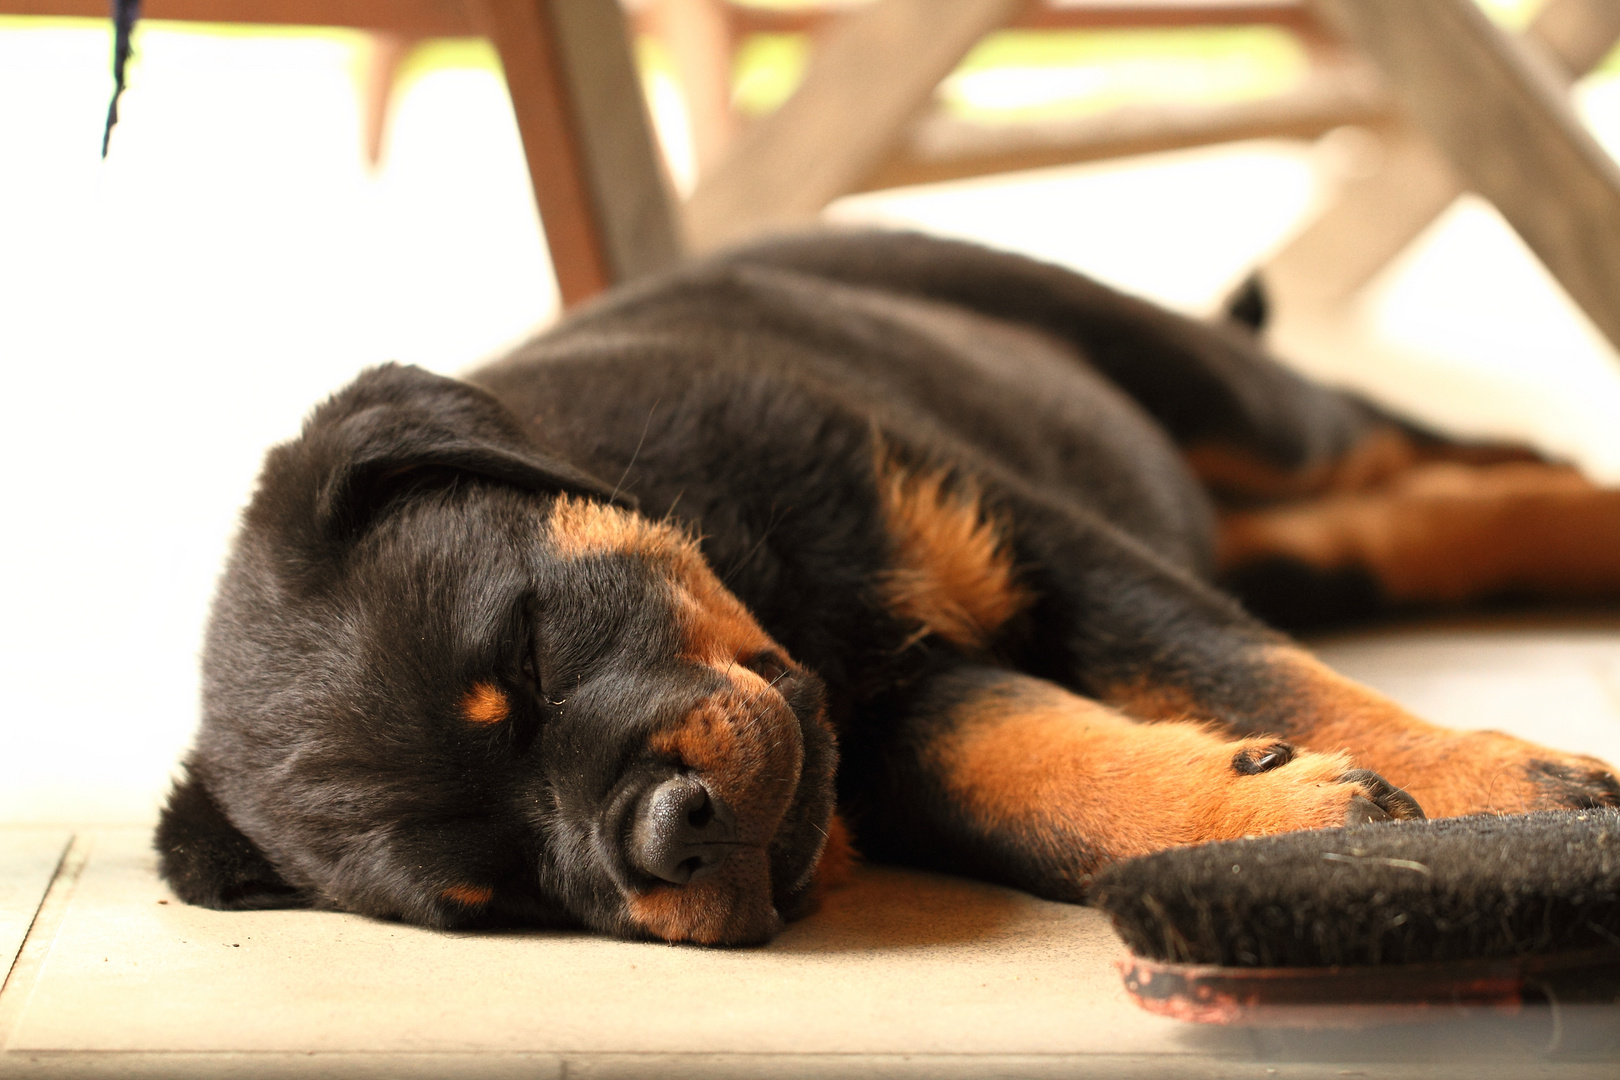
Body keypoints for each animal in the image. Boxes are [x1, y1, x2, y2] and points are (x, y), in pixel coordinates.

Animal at [157, 229, 1620, 945]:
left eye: (524, 653)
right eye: (496, 896)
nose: (660, 839)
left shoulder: (1034, 532)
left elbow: (1240, 667)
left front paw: (1499, 791)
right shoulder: (893, 709)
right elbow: (1030, 776)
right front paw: (1270, 814)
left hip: (1226, 394)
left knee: (1427, 454)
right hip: (1274, 527)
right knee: (1396, 527)